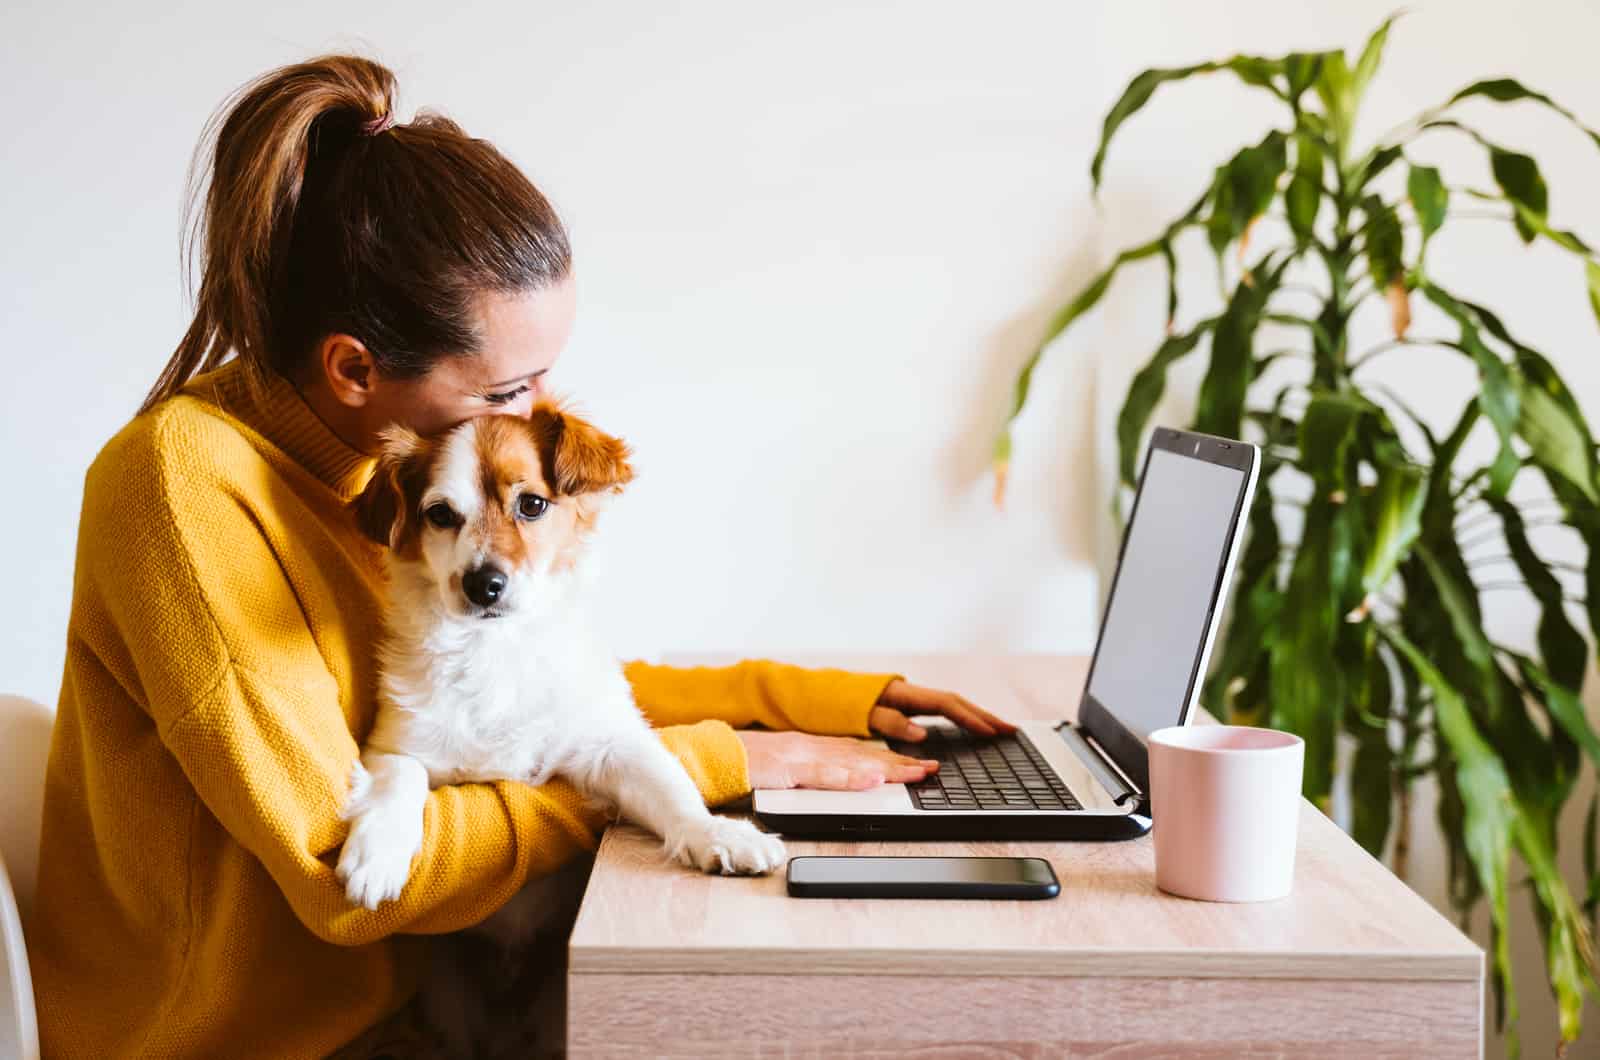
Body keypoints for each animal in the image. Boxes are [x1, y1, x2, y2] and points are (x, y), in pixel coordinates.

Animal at [337, 405, 787, 1056]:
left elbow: (670, 787)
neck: (495, 652)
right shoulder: (395, 746)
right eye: (440, 514)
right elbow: (400, 783)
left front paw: (718, 834)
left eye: (532, 504)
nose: (484, 584)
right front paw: (379, 855)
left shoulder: (610, 744)